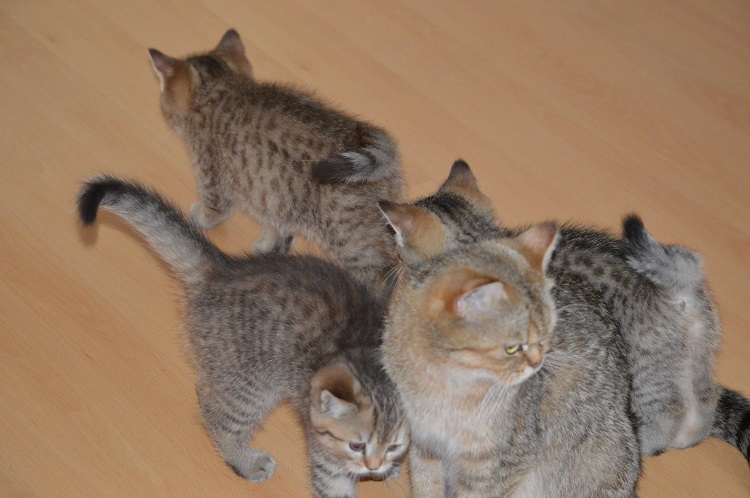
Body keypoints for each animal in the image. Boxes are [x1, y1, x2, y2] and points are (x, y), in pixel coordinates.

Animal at [77, 176, 409, 498]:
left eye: (394, 445)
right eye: (356, 445)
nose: (375, 465)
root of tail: (225, 268)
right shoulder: (326, 453)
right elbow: (333, 483)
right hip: (251, 382)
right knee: (218, 414)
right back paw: (244, 460)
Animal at [148, 29, 404, 291]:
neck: (222, 89)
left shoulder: (214, 180)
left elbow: (213, 210)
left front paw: (199, 217)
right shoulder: (272, 197)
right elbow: (277, 226)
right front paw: (270, 245)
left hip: (351, 239)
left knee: (380, 275)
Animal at [377, 159, 750, 461]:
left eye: (396, 239)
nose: (394, 259)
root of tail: (681, 285)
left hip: (647, 370)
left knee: (671, 410)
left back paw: (646, 442)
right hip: (697, 361)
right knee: (705, 402)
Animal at [382, 223, 641, 497]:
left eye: (547, 333)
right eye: (513, 348)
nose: (538, 363)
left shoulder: (499, 462)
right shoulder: (425, 444)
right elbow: (425, 484)